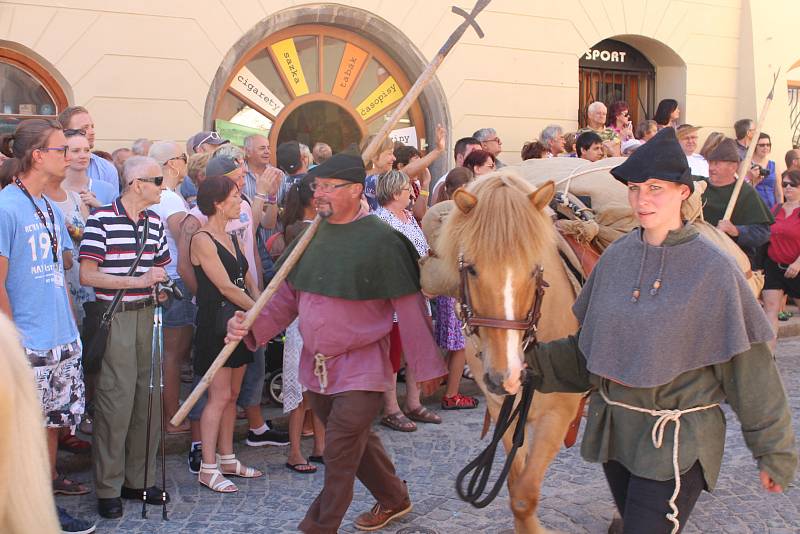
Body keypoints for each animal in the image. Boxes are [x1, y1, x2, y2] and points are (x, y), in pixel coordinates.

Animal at [422, 173, 584, 534]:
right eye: (471, 269)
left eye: (536, 269)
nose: (505, 376)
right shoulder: (501, 409)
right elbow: (514, 488)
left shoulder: (558, 415)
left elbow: (525, 496)